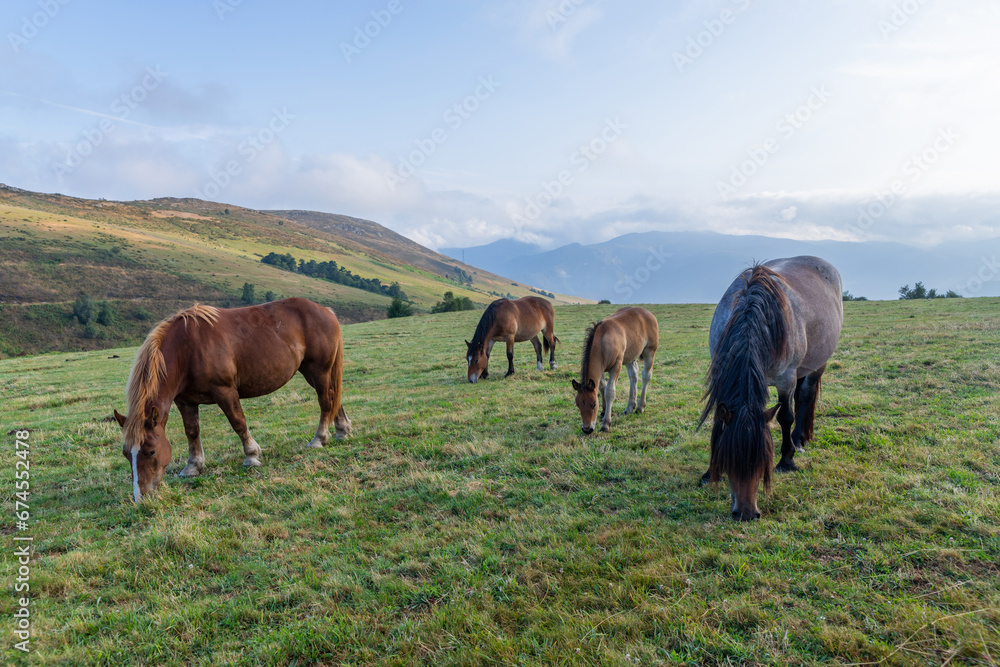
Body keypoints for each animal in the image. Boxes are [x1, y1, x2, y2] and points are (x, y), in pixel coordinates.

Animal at [110, 300, 348, 504]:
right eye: (126, 454)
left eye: (150, 451)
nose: (141, 497)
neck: (186, 349)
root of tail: (325, 310)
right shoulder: (185, 401)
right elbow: (192, 432)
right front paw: (193, 466)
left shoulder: (224, 391)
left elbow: (238, 423)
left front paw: (251, 456)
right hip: (311, 371)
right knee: (333, 397)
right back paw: (342, 430)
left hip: (318, 370)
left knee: (325, 401)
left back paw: (319, 439)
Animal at [572, 306, 656, 434]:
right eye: (578, 405)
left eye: (594, 404)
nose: (587, 429)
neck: (602, 342)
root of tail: (647, 312)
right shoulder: (601, 368)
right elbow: (601, 387)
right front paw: (603, 411)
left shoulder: (616, 366)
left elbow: (610, 391)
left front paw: (606, 424)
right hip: (629, 356)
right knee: (633, 375)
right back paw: (630, 407)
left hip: (649, 351)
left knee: (646, 375)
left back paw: (640, 407)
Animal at [704, 256, 844, 520]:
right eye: (730, 459)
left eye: (762, 462)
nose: (747, 514)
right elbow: (718, 422)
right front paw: (709, 472)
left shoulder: (786, 379)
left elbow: (785, 417)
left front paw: (786, 460)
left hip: (817, 364)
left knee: (805, 397)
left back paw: (798, 440)